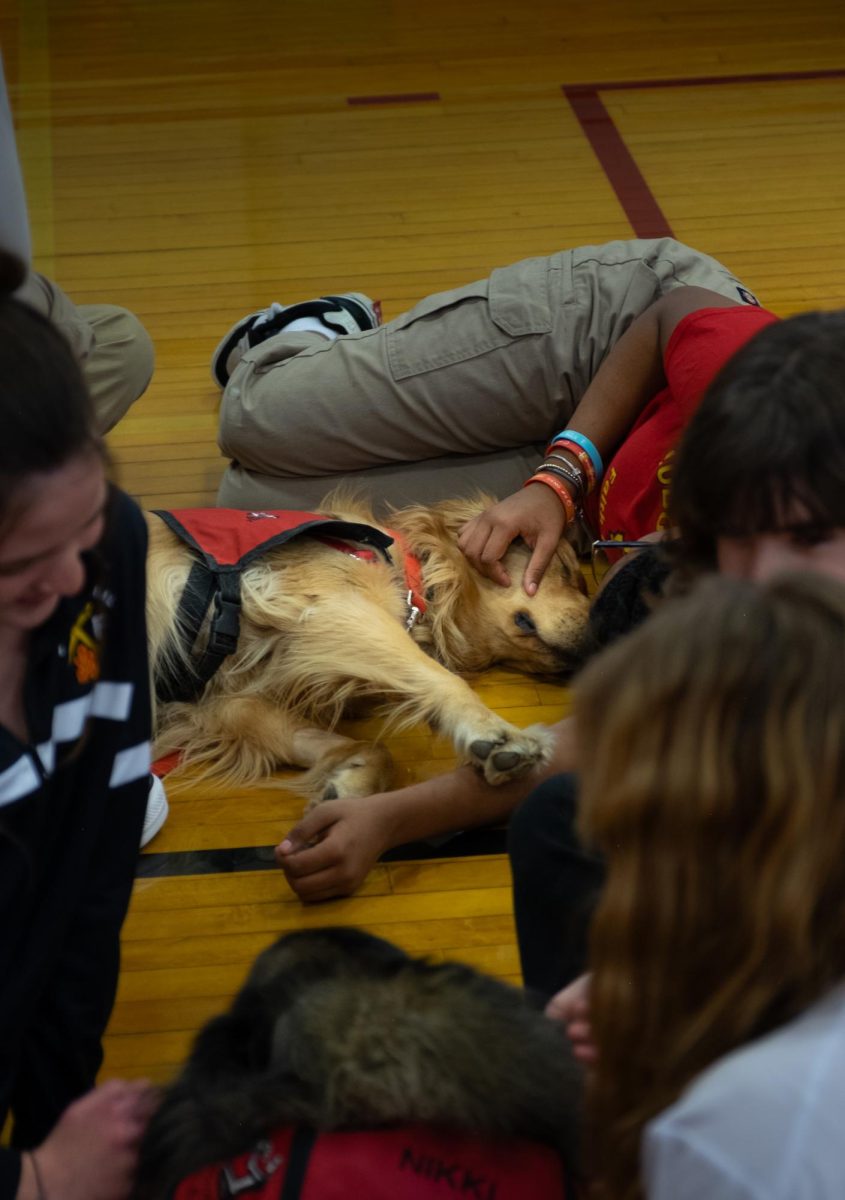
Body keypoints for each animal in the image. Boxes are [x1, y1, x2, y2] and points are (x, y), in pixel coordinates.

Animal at [145, 496, 590, 806]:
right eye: (568, 572)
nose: (601, 628)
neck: (417, 575)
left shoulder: (226, 703)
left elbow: (371, 750)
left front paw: (350, 781)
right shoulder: (330, 608)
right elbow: (441, 678)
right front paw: (497, 735)